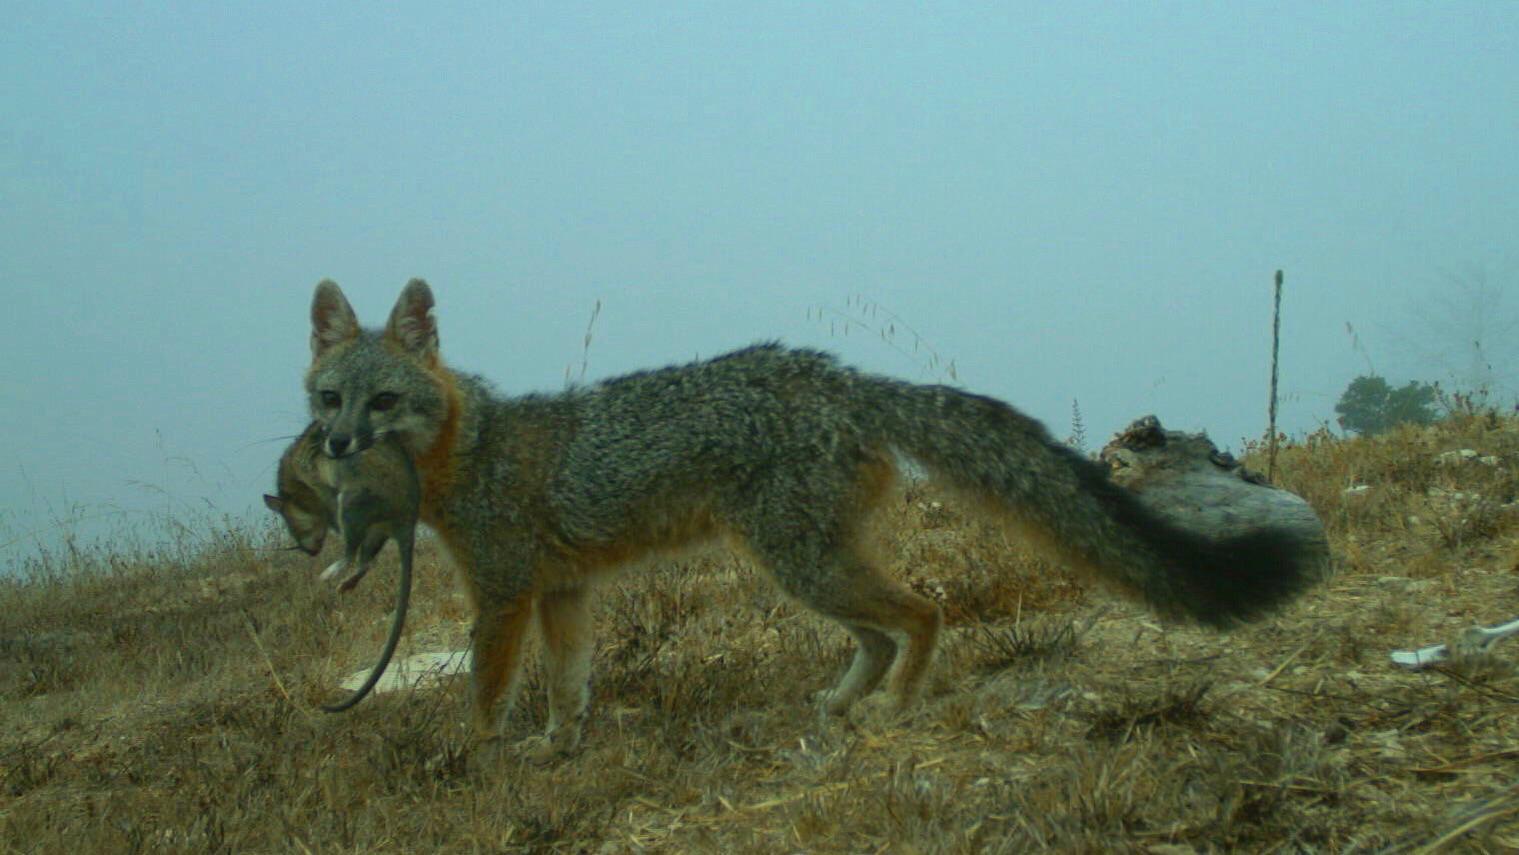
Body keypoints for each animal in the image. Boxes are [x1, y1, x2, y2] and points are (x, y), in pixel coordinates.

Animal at [264, 422, 419, 712]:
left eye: (291, 526)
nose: (311, 552)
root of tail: (404, 526)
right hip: (373, 532)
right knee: (364, 561)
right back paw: (343, 585)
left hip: (351, 503)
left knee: (351, 551)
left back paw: (328, 574)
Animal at [303, 278, 1322, 758]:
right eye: (326, 398)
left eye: (382, 401)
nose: (336, 445)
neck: (468, 447)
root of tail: (840, 376)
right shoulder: (564, 594)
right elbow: (569, 687)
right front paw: (557, 747)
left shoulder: (505, 595)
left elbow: (485, 690)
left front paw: (475, 754)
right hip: (807, 563)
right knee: (877, 631)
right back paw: (842, 702)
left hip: (800, 562)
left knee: (921, 612)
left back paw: (899, 703)